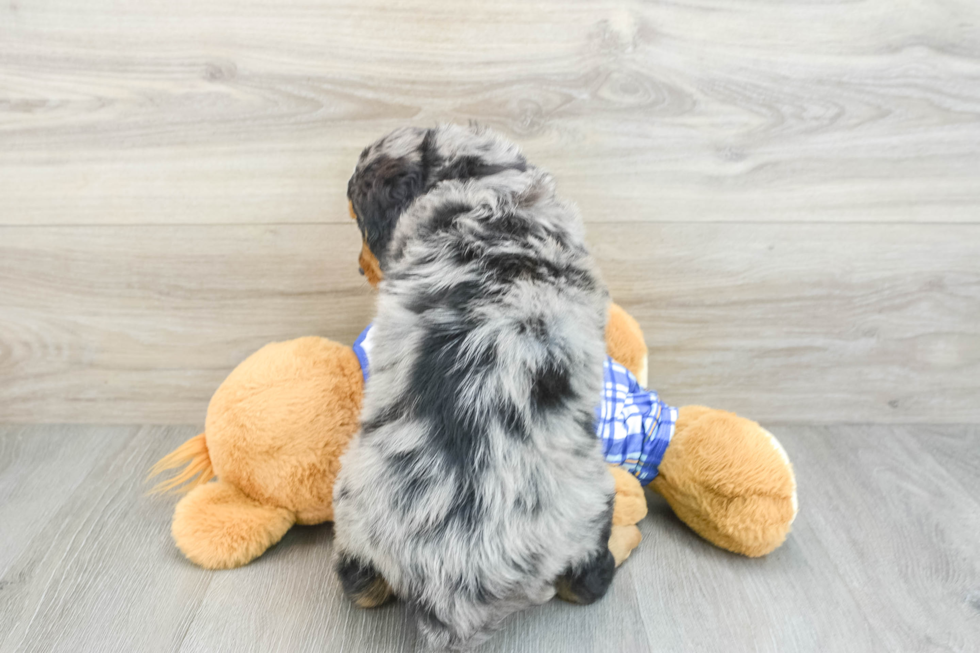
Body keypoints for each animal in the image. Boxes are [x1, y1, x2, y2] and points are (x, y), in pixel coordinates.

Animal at [334, 123, 616, 648]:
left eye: (358, 220)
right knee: (588, 582)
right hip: (591, 499)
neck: (485, 184)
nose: (360, 268)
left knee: (360, 587)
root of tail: (454, 585)